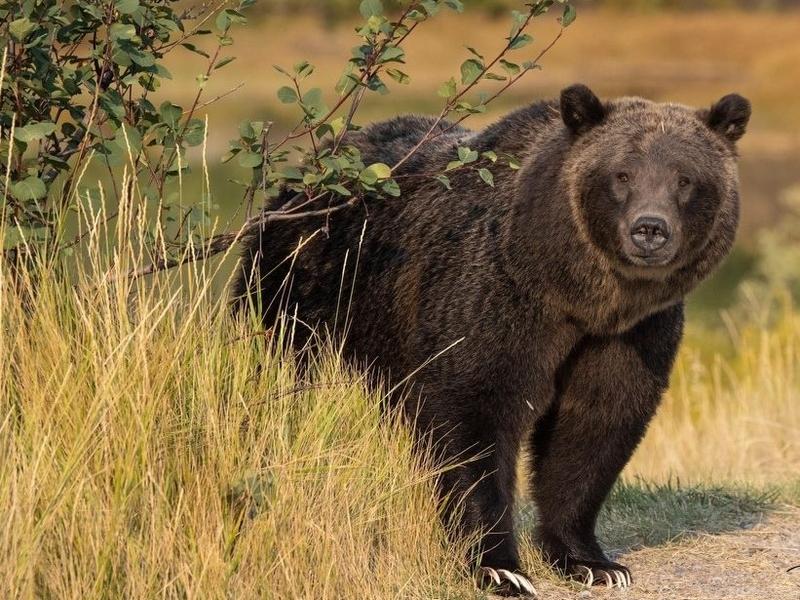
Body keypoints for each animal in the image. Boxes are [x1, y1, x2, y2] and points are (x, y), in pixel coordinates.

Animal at [231, 83, 752, 596]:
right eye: (622, 174)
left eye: (684, 179)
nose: (649, 229)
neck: (577, 293)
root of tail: (304, 172)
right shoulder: (494, 297)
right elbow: (473, 414)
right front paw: (500, 568)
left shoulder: (631, 334)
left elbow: (595, 425)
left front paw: (593, 562)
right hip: (302, 290)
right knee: (280, 380)